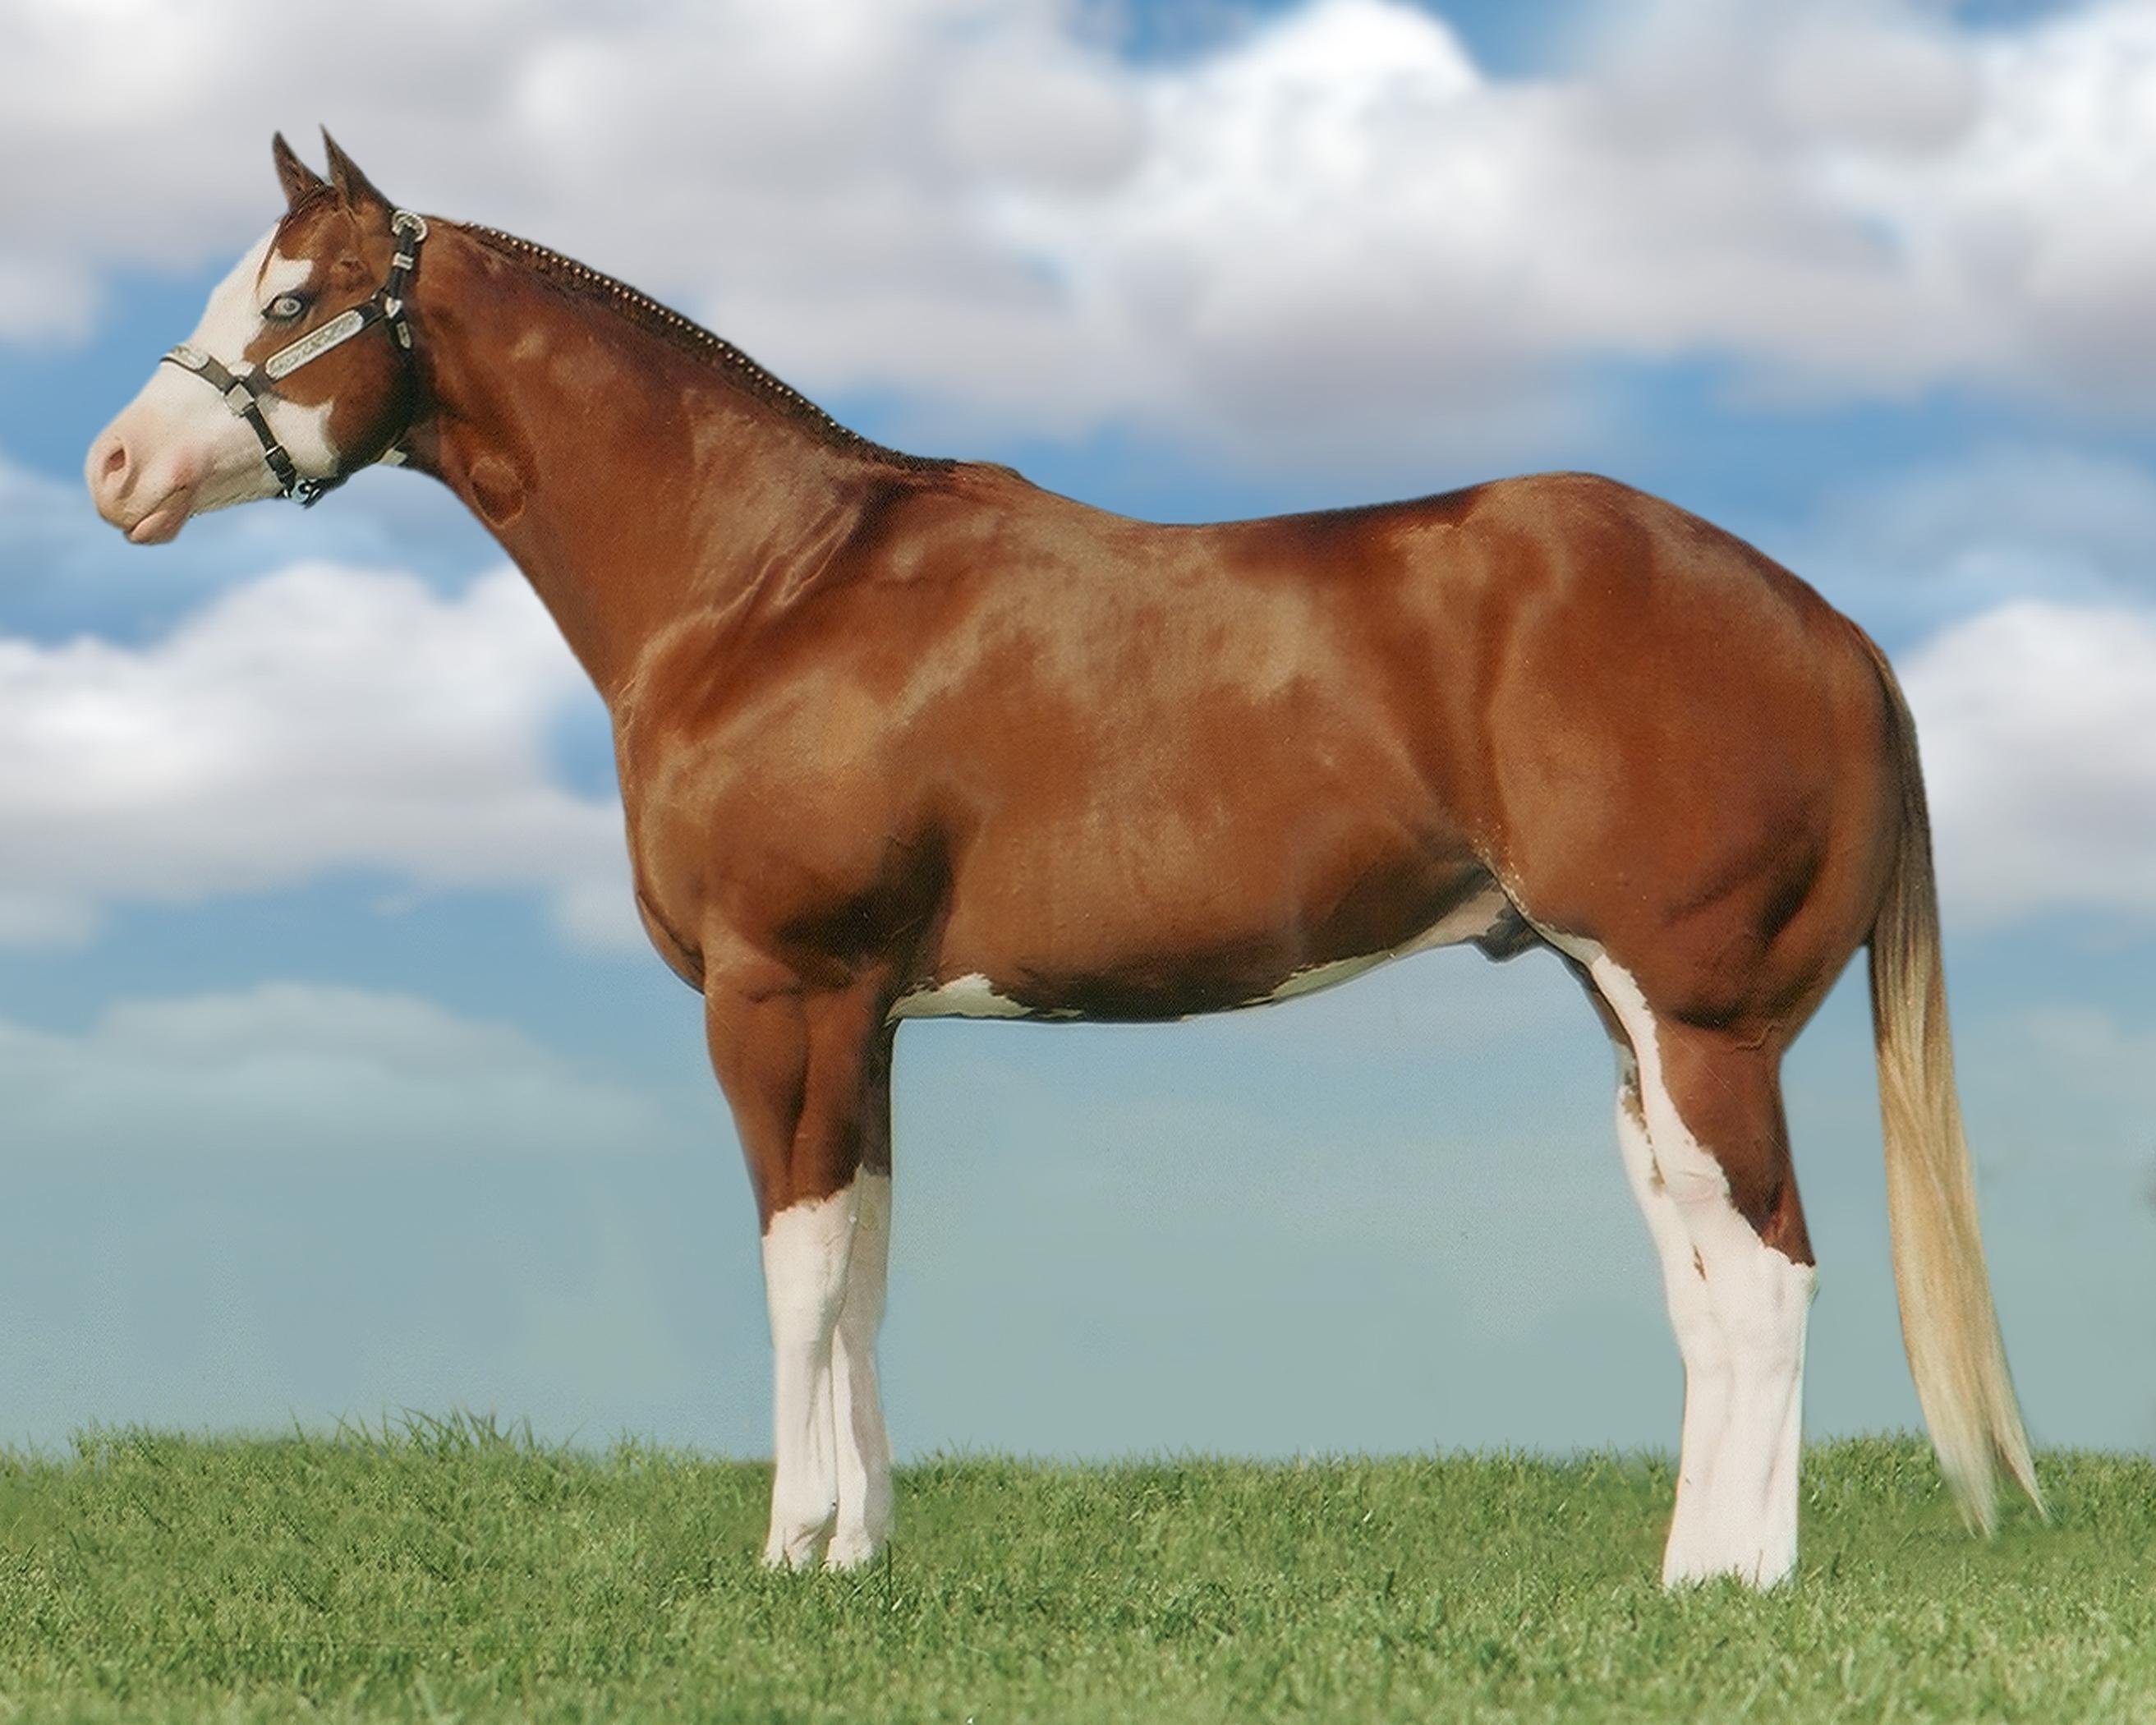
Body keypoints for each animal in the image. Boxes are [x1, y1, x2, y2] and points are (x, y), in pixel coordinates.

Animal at [86, 134, 2042, 1587]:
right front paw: (863, 1548)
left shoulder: (777, 994)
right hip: (1631, 1024)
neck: (766, 585)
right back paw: (1690, 1566)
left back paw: (1737, 1586)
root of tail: (1833, 628)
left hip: (1702, 1019)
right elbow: (865, 1262)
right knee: (1703, 1278)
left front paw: (792, 1550)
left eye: (291, 297)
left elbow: (796, 1269)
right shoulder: (864, 1018)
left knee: (1768, 1272)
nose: (112, 468)